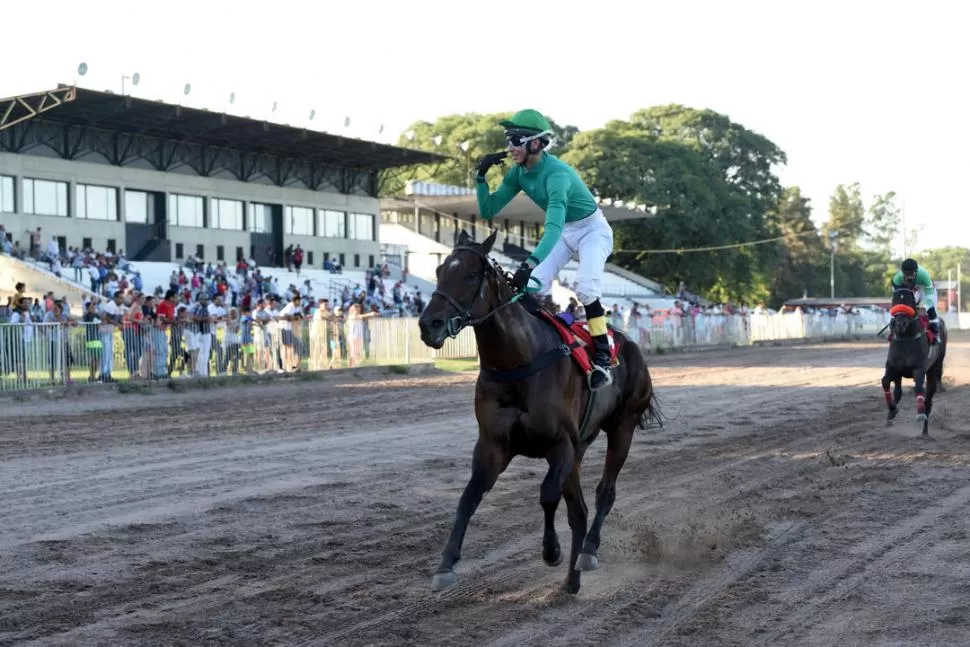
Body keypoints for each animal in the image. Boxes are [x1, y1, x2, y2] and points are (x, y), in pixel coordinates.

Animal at [416, 230, 656, 596]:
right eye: (440, 270)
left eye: (470, 275)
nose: (429, 325)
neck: (519, 361)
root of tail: (629, 344)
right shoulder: (493, 446)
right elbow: (468, 498)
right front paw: (445, 565)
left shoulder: (561, 445)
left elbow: (546, 495)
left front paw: (551, 550)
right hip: (581, 449)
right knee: (579, 509)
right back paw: (572, 581)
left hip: (622, 428)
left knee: (604, 493)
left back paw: (588, 552)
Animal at [880, 288, 940, 436]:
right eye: (894, 299)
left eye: (911, 301)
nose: (900, 325)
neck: (906, 339)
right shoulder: (892, 367)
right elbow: (885, 381)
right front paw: (892, 409)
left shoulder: (919, 368)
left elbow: (919, 388)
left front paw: (920, 413)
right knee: (898, 391)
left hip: (934, 369)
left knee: (929, 399)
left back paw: (925, 432)